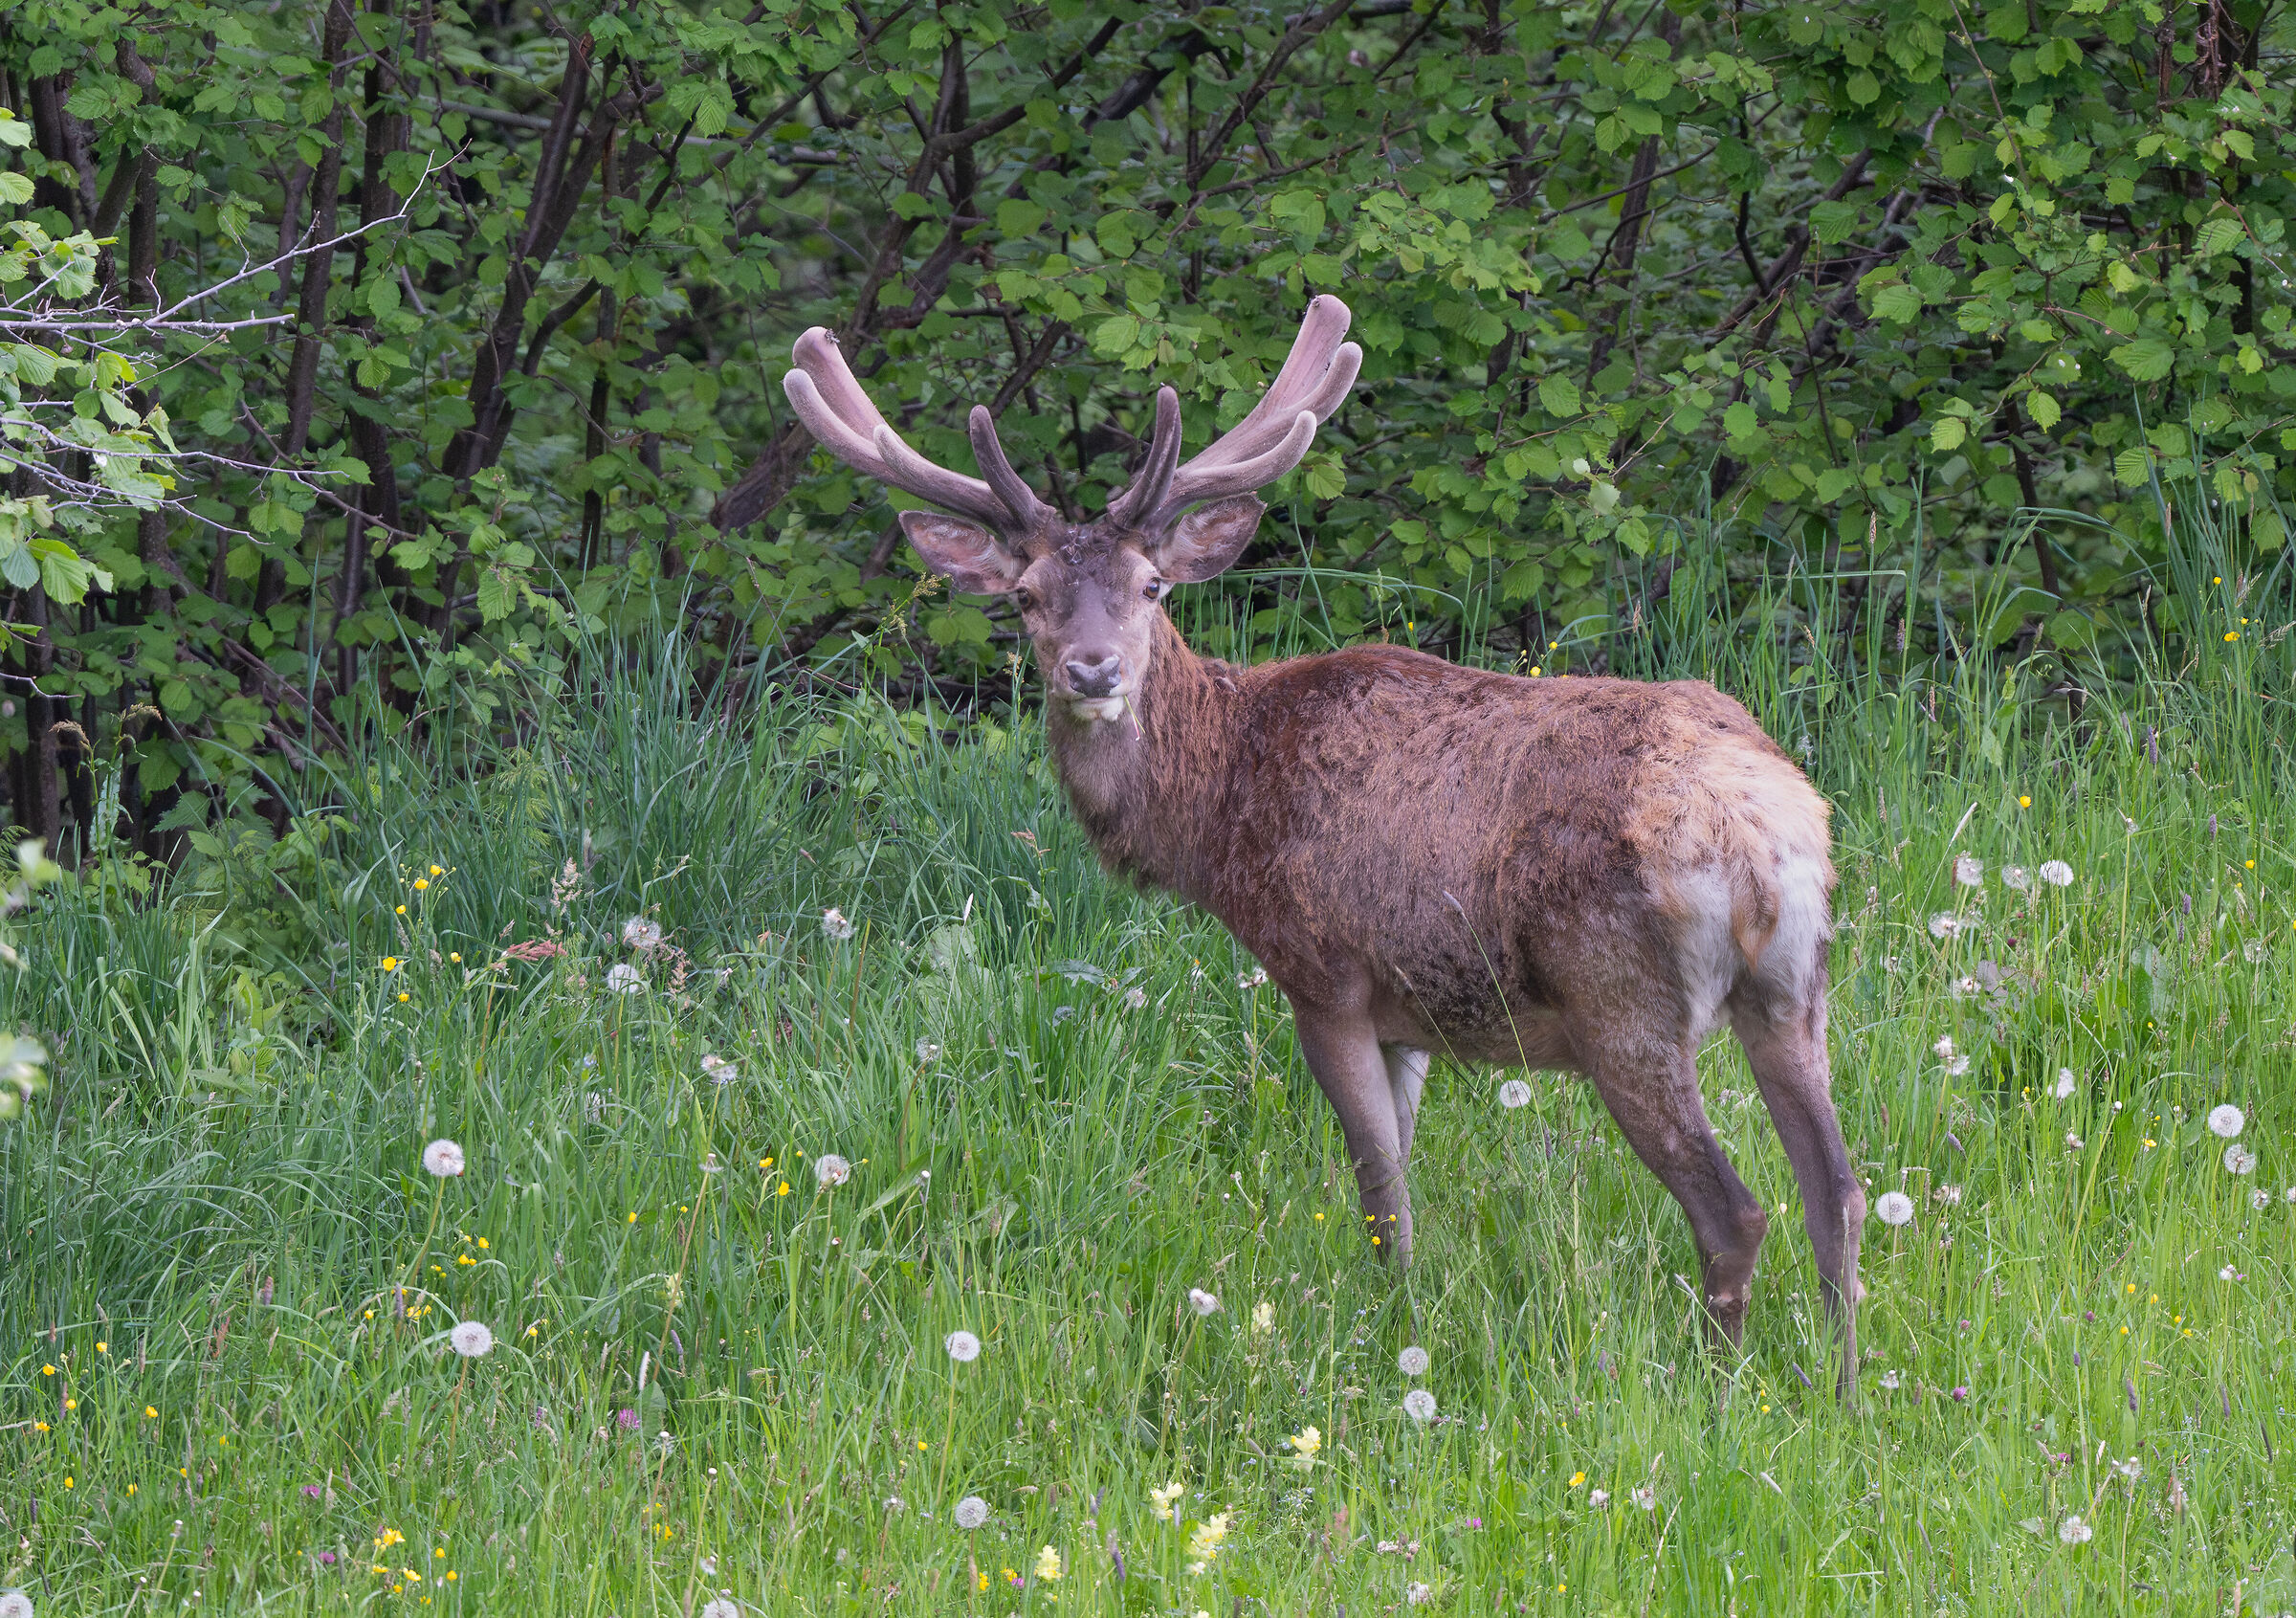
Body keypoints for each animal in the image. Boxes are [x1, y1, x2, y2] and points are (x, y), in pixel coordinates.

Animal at [782, 295, 1864, 1391]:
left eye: (1152, 587)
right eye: (1028, 597)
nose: (1091, 670)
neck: (1216, 820)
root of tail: (1764, 832)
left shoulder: (1324, 972)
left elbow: (1380, 1188)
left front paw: (1395, 1327)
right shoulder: (1410, 1012)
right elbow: (1404, 1167)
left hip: (1623, 1001)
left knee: (1736, 1208)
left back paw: (1721, 1386)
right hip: (1795, 988)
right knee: (1838, 1187)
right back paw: (1843, 1387)